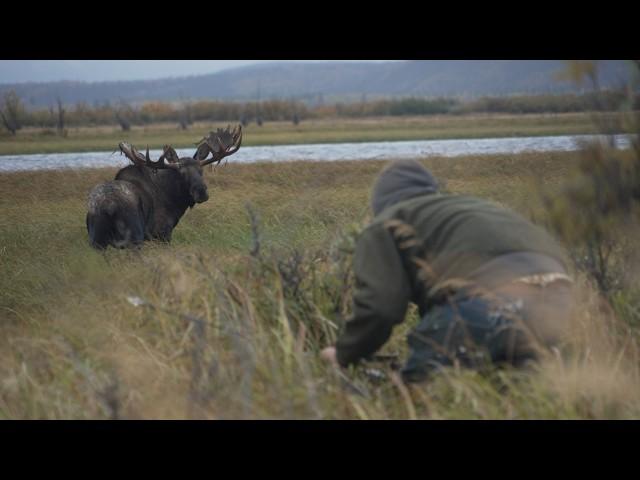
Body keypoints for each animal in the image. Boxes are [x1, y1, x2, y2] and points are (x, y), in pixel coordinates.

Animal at [86, 124, 241, 248]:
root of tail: (108, 207)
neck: (174, 201)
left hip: (97, 241)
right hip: (134, 236)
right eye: (181, 173)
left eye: (201, 171)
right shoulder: (162, 233)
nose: (201, 192)